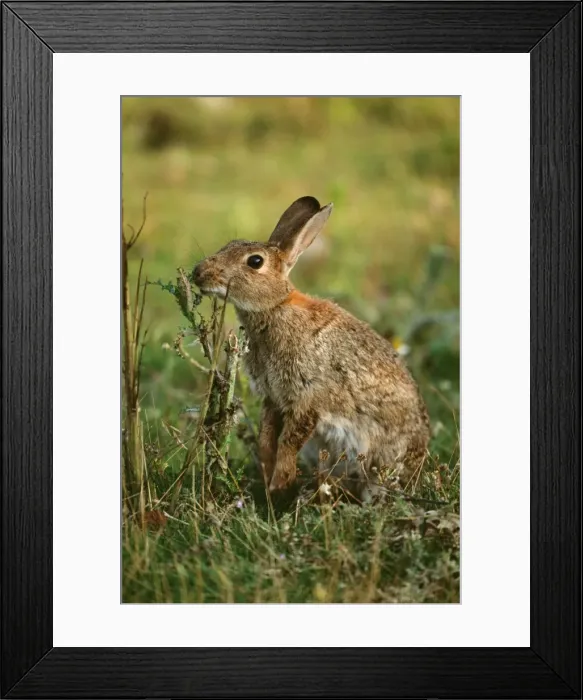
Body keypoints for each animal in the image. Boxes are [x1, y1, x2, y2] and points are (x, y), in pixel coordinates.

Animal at [192, 196, 430, 502]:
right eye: (230, 243)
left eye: (255, 261)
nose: (199, 273)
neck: (275, 307)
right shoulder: (273, 398)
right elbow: (267, 435)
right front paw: (269, 472)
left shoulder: (308, 399)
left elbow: (290, 439)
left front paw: (279, 482)